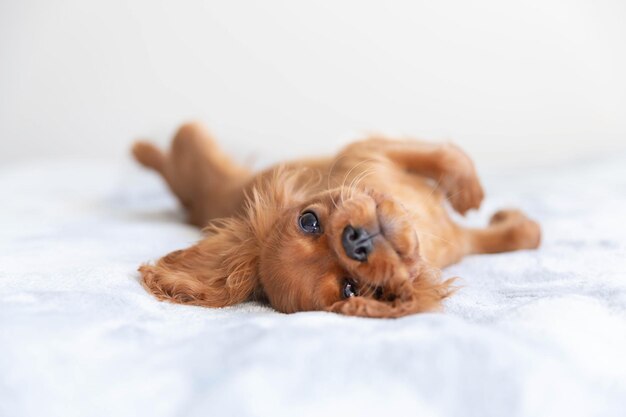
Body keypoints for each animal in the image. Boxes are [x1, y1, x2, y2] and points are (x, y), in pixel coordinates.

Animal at [130, 122, 536, 316]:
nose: (355, 241)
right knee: (174, 153)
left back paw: (142, 150)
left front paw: (470, 192)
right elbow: (514, 238)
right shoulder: (459, 242)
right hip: (196, 160)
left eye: (307, 220)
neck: (421, 222)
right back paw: (141, 150)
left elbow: (447, 157)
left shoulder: (369, 150)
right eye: (350, 289)